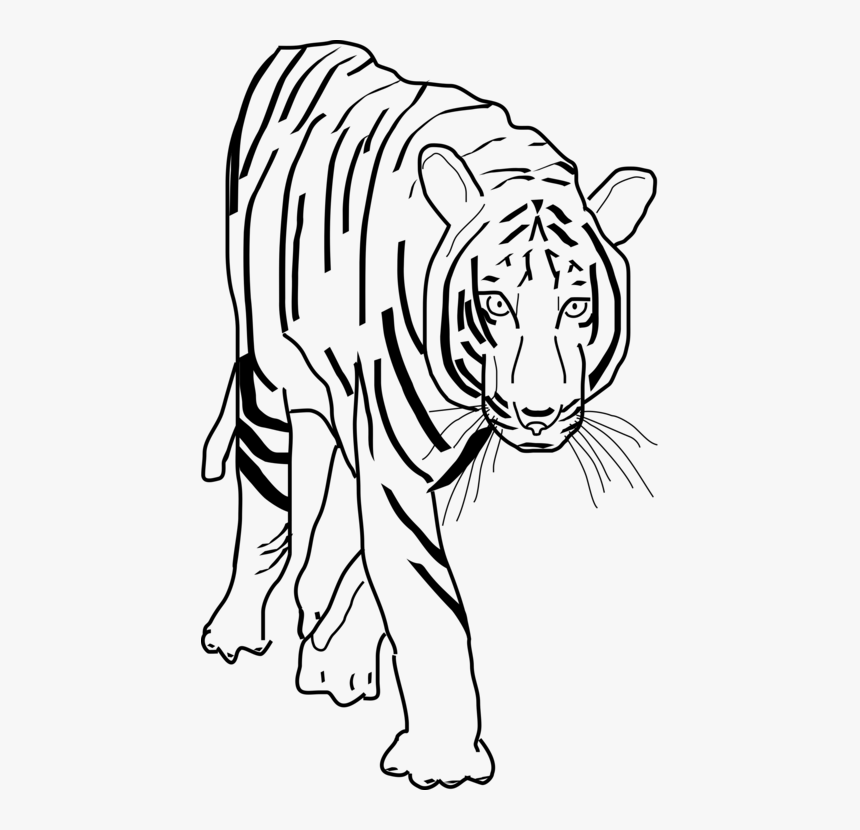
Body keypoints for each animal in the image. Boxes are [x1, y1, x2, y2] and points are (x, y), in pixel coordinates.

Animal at [200, 40, 657, 789]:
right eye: (496, 303)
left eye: (576, 306)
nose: (539, 413)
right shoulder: (391, 458)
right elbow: (424, 601)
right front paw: (444, 760)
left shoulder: (433, 448)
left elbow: (369, 562)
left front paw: (337, 658)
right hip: (265, 371)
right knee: (265, 501)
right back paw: (239, 628)